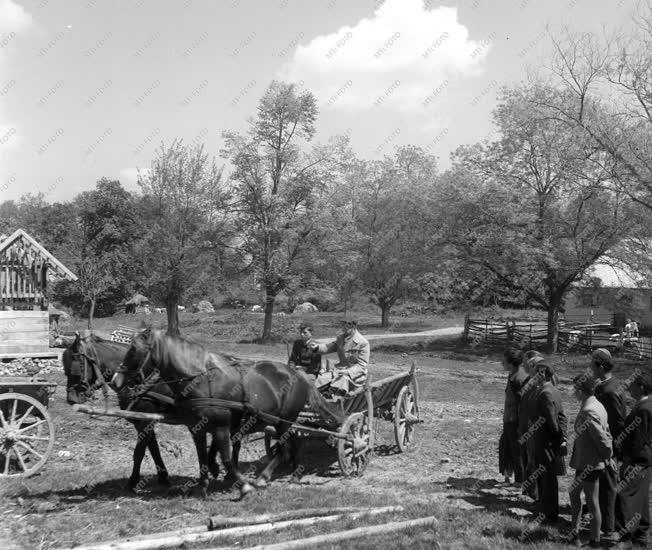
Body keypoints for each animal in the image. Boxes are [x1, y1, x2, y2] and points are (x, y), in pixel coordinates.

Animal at [63, 334, 225, 494]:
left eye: (76, 365)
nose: (71, 399)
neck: (138, 381)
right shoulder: (143, 420)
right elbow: (153, 449)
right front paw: (163, 478)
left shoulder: (145, 422)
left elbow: (139, 452)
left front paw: (132, 482)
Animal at [114, 330, 344, 502]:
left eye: (133, 349)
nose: (116, 380)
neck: (201, 382)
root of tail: (298, 374)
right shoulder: (196, 429)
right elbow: (202, 457)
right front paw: (202, 487)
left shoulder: (221, 428)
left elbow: (225, 458)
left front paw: (243, 487)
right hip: (282, 422)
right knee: (293, 443)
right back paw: (295, 474)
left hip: (283, 422)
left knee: (285, 449)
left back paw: (264, 478)